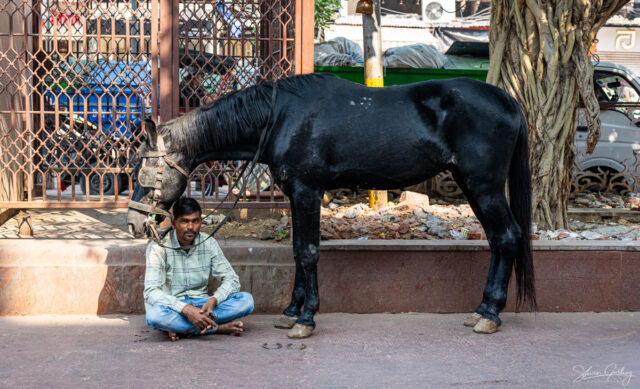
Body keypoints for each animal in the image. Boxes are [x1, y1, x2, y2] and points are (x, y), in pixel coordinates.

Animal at [127, 73, 536, 336]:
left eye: (144, 169)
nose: (134, 223)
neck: (279, 117)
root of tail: (508, 101)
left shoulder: (308, 191)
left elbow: (308, 252)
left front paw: (306, 318)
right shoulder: (297, 194)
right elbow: (296, 250)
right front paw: (291, 311)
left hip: (483, 186)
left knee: (507, 237)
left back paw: (490, 314)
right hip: (472, 185)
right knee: (499, 240)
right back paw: (483, 309)